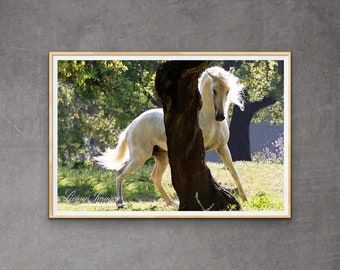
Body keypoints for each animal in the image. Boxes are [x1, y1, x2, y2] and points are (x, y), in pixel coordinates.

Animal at [95, 66, 247, 207]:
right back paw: (120, 203)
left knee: (152, 177)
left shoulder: (222, 147)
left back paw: (170, 202)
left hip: (161, 157)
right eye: (214, 90)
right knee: (121, 174)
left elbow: (234, 172)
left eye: (227, 91)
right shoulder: (201, 149)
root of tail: (133, 124)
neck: (207, 118)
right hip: (140, 157)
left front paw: (244, 199)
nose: (220, 116)